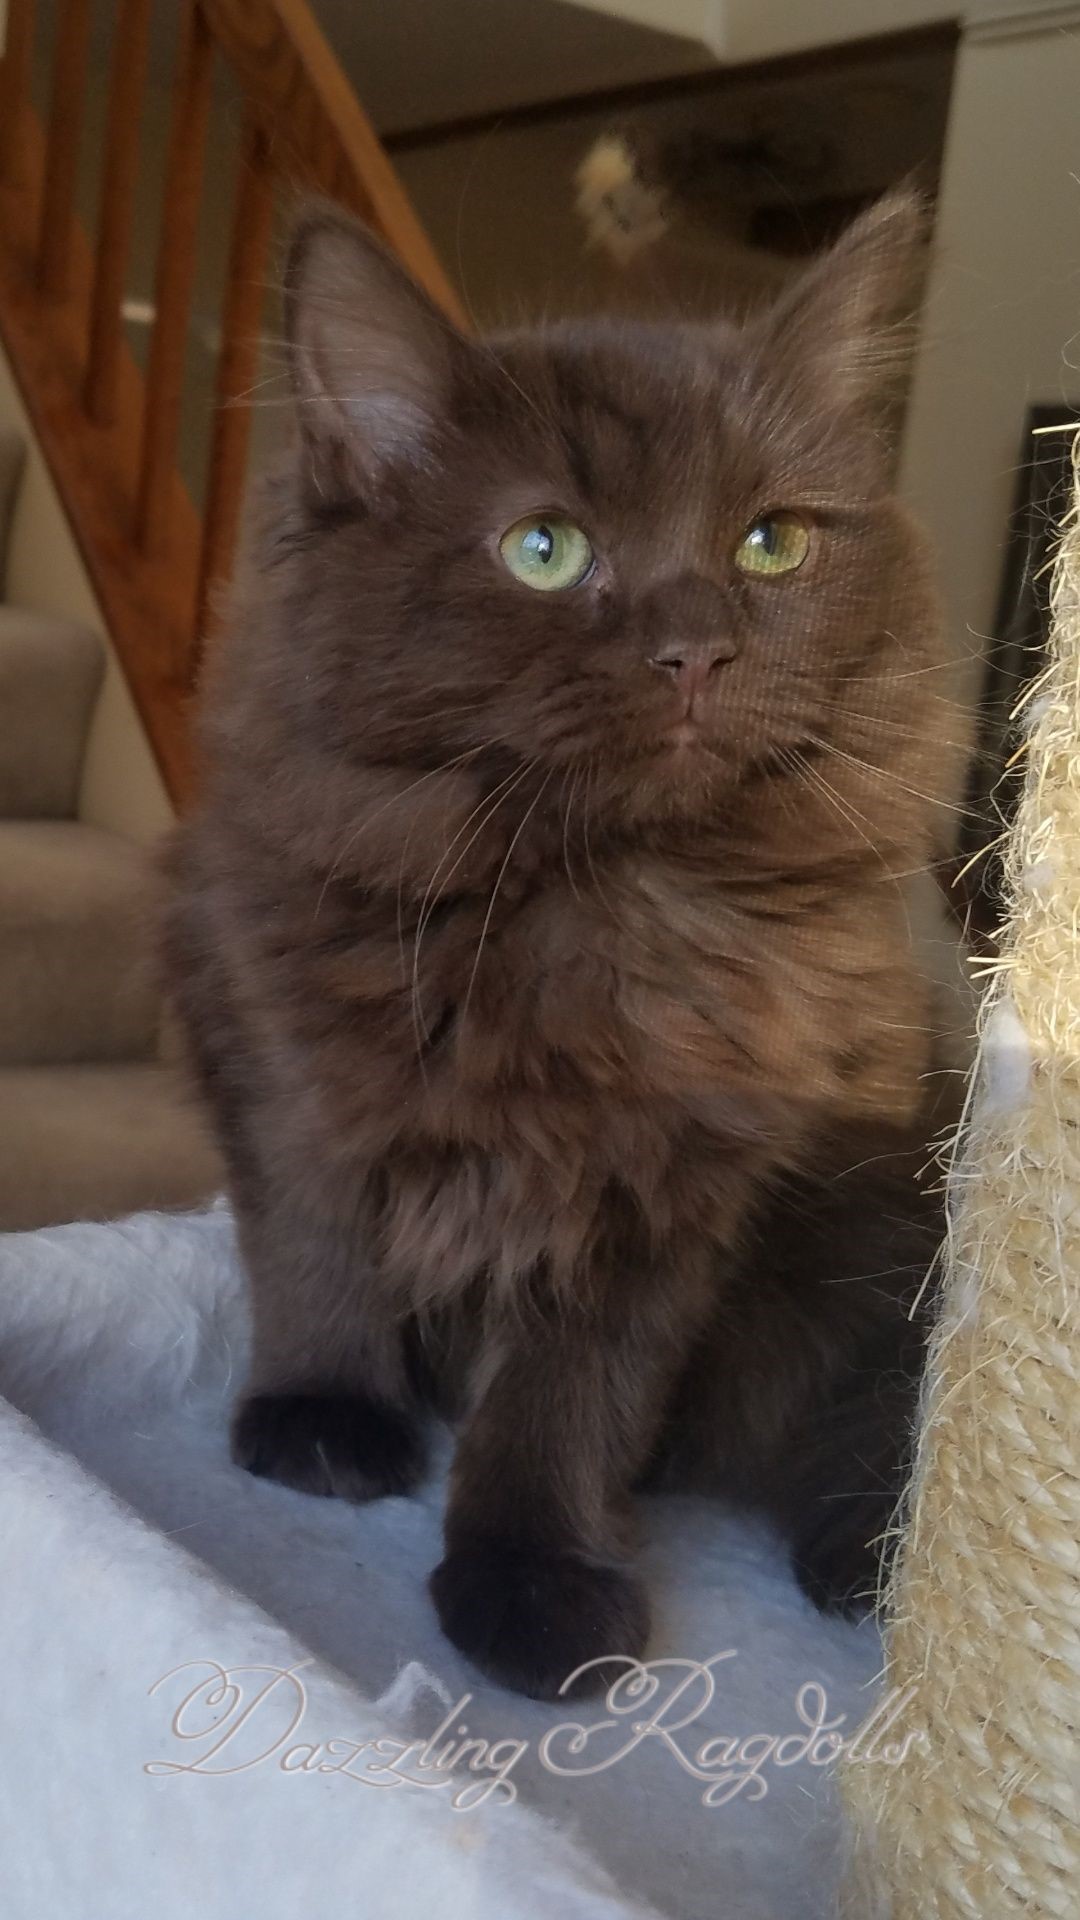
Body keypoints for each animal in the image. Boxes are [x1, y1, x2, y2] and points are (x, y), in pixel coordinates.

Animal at [166, 191, 968, 1697]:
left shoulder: (667, 1198)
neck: (587, 910)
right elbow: (315, 1247)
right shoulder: (275, 1041)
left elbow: (566, 1400)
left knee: (875, 1426)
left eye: (771, 543)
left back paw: (867, 1574)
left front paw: (534, 1582)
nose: (697, 649)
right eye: (546, 549)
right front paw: (324, 1422)